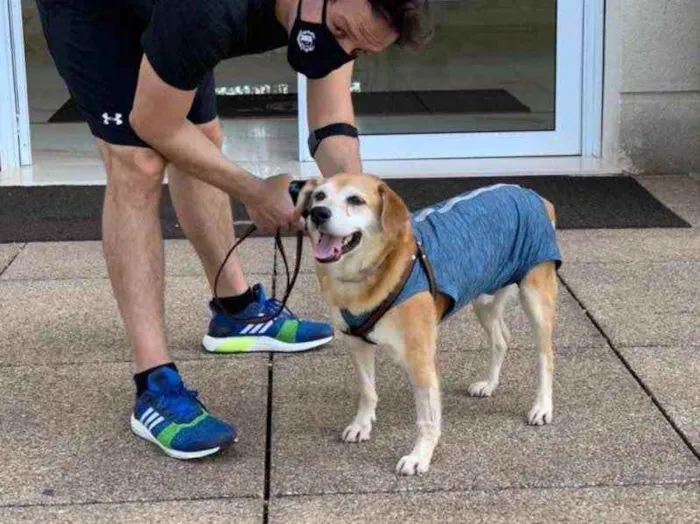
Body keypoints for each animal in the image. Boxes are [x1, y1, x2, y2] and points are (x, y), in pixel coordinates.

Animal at [296, 173, 564, 474]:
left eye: (355, 200)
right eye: (319, 196)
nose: (318, 214)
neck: (369, 274)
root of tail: (532, 194)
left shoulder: (421, 359)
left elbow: (427, 418)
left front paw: (420, 455)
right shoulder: (356, 344)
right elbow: (367, 390)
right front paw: (362, 425)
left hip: (536, 297)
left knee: (545, 356)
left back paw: (542, 406)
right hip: (484, 297)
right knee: (501, 340)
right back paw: (489, 384)